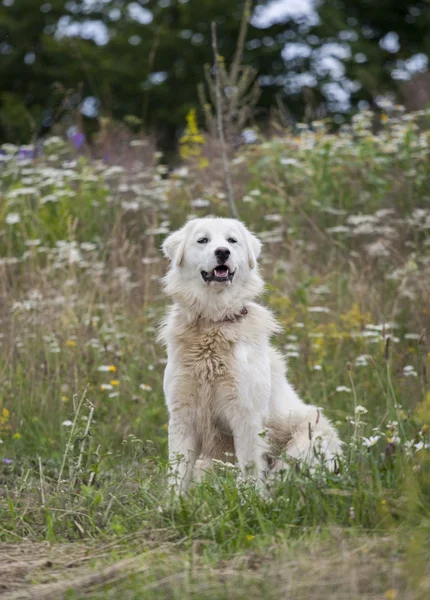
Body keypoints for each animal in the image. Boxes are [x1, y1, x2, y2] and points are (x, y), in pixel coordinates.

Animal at [159, 217, 342, 492]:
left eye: (231, 240)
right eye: (203, 240)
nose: (222, 252)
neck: (214, 321)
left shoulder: (245, 414)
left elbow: (249, 468)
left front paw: (249, 498)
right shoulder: (183, 414)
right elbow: (176, 472)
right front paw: (173, 501)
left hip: (309, 438)